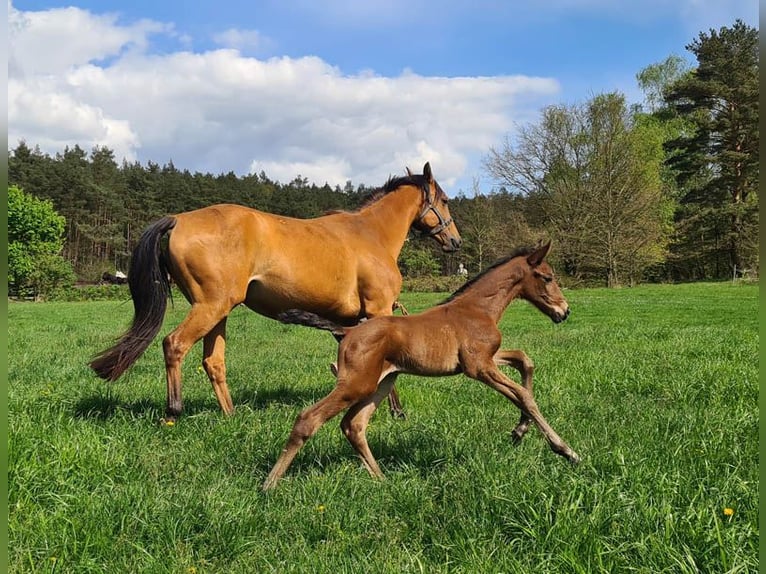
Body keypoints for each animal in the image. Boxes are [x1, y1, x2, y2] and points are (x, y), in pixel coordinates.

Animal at [90, 162, 462, 424]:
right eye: (444, 201)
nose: (455, 241)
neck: (370, 234)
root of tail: (179, 219)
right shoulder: (379, 310)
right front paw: (395, 411)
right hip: (210, 308)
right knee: (174, 344)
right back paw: (174, 409)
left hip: (217, 311)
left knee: (213, 361)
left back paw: (231, 416)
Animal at [264, 241, 584, 492]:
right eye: (547, 277)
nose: (564, 311)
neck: (477, 310)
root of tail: (347, 331)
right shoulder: (478, 367)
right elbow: (524, 395)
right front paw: (566, 450)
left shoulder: (486, 358)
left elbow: (524, 361)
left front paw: (519, 431)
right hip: (356, 384)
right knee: (309, 418)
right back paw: (269, 485)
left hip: (381, 383)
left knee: (353, 425)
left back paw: (382, 480)